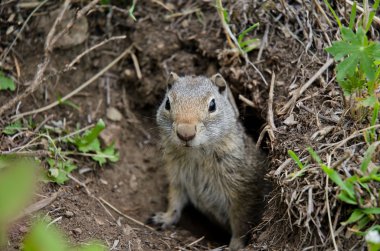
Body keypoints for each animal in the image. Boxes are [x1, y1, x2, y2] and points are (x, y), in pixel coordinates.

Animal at [150, 73, 268, 251]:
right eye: (167, 103)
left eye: (212, 105)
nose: (185, 133)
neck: (196, 154)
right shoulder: (177, 177)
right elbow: (175, 201)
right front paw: (165, 218)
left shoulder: (242, 191)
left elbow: (241, 221)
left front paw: (235, 245)